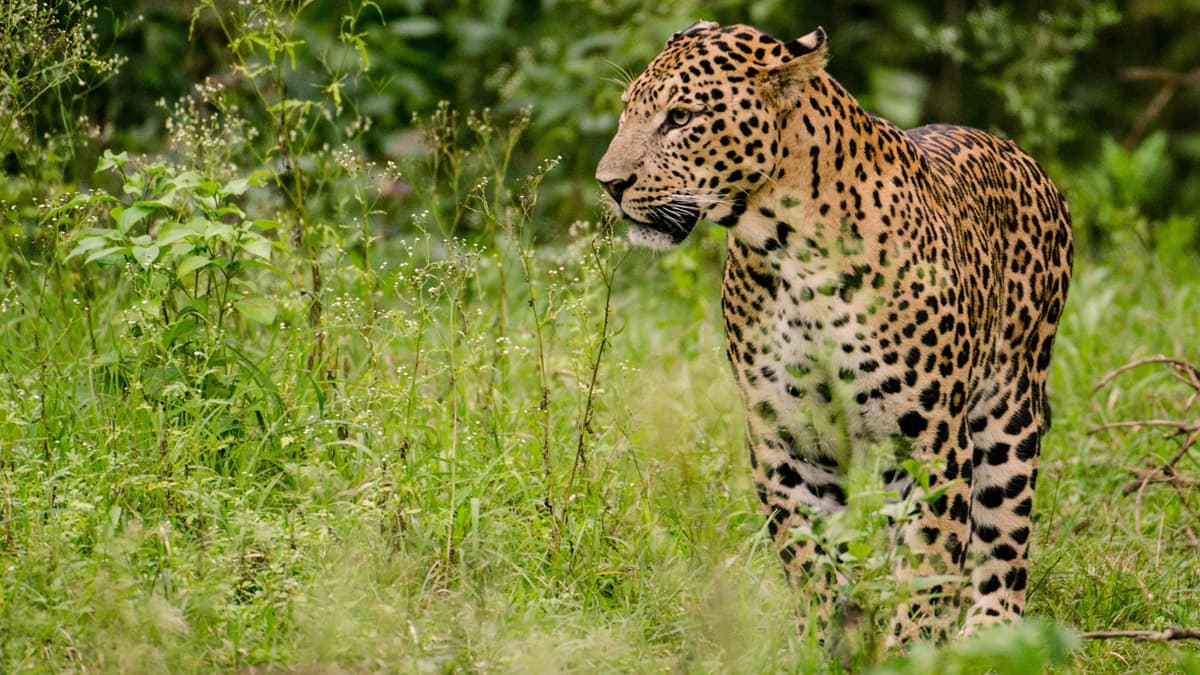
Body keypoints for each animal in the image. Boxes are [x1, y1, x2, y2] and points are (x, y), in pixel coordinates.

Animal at [595, 19, 1075, 638]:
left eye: (680, 118)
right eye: (627, 111)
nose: (609, 183)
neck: (787, 251)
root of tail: (1021, 155)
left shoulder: (932, 441)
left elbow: (929, 566)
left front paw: (909, 647)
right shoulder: (787, 437)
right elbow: (810, 558)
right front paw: (828, 640)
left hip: (1009, 411)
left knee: (1003, 542)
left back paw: (989, 632)